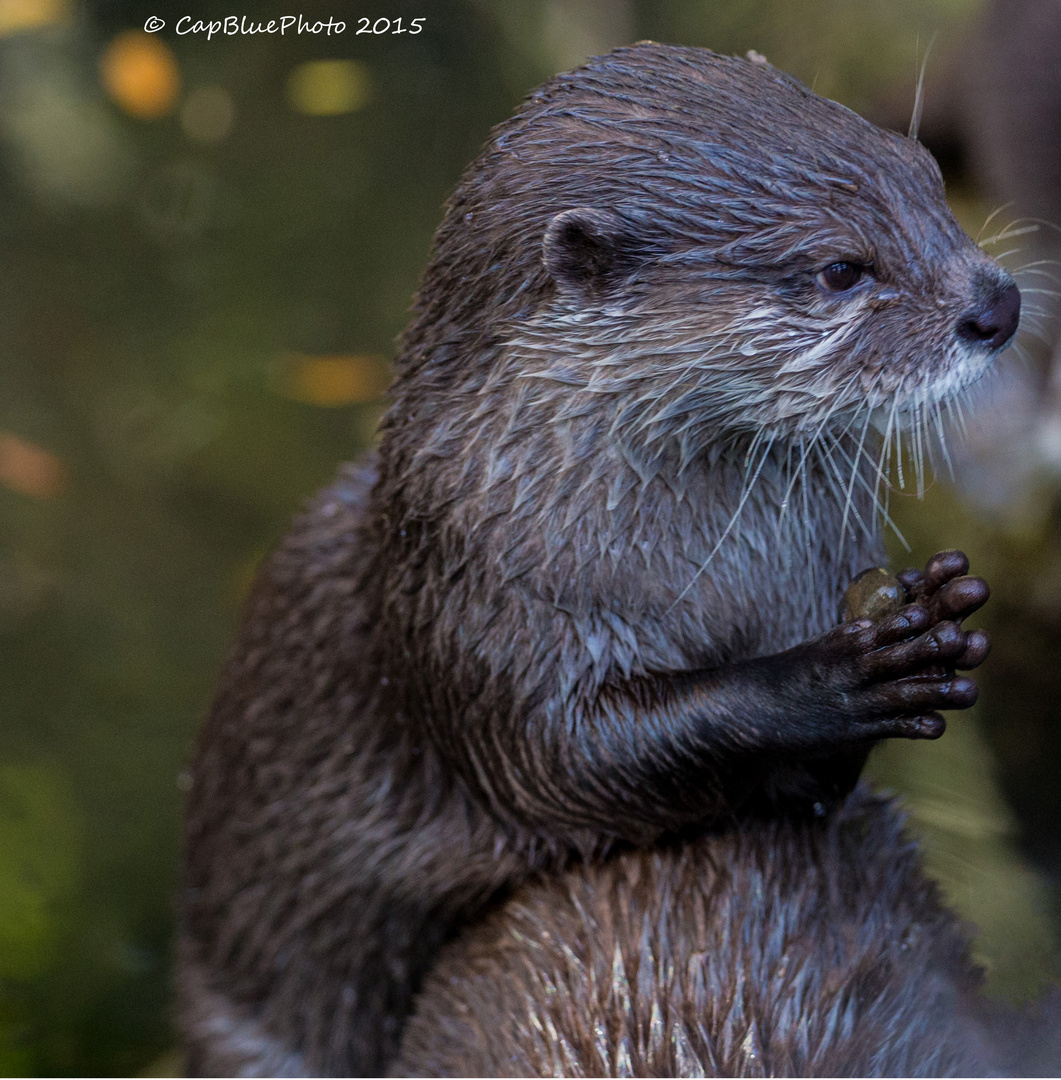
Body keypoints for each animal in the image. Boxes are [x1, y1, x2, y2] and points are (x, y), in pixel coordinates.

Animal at [178, 44, 1015, 1080]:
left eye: (928, 175)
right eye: (838, 269)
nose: (996, 305)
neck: (698, 572)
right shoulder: (474, 601)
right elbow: (563, 759)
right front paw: (839, 677)